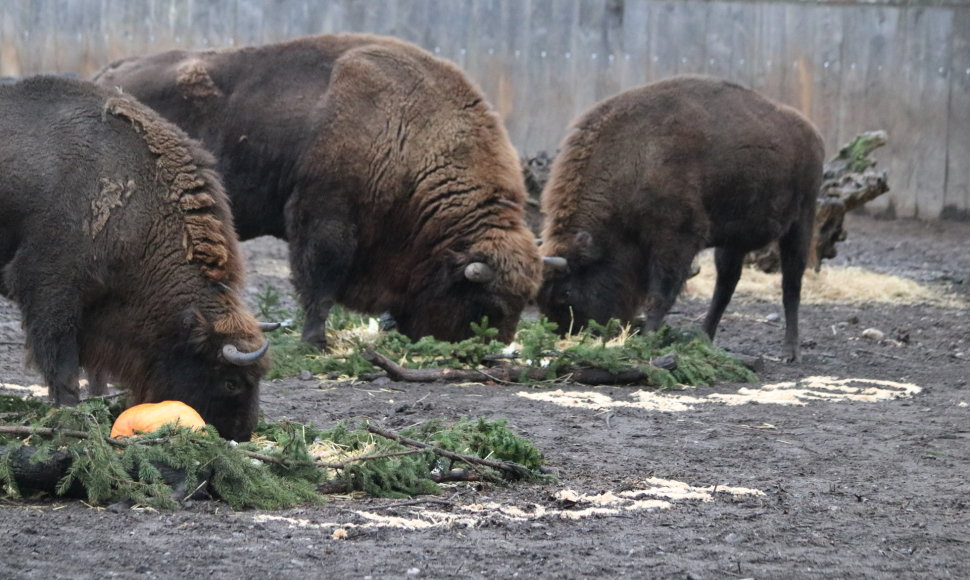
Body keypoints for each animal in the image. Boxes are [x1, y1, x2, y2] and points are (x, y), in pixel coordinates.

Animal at [93, 32, 540, 348]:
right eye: (487, 305)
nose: (487, 352)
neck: (410, 127)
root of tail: (108, 75)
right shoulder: (325, 214)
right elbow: (319, 280)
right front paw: (314, 341)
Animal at [536, 75, 824, 360]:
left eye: (566, 292)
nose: (568, 334)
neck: (634, 159)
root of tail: (812, 133)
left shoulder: (675, 239)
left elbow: (660, 294)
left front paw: (647, 339)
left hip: (801, 222)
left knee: (791, 284)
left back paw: (790, 352)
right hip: (734, 239)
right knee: (726, 285)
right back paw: (703, 338)